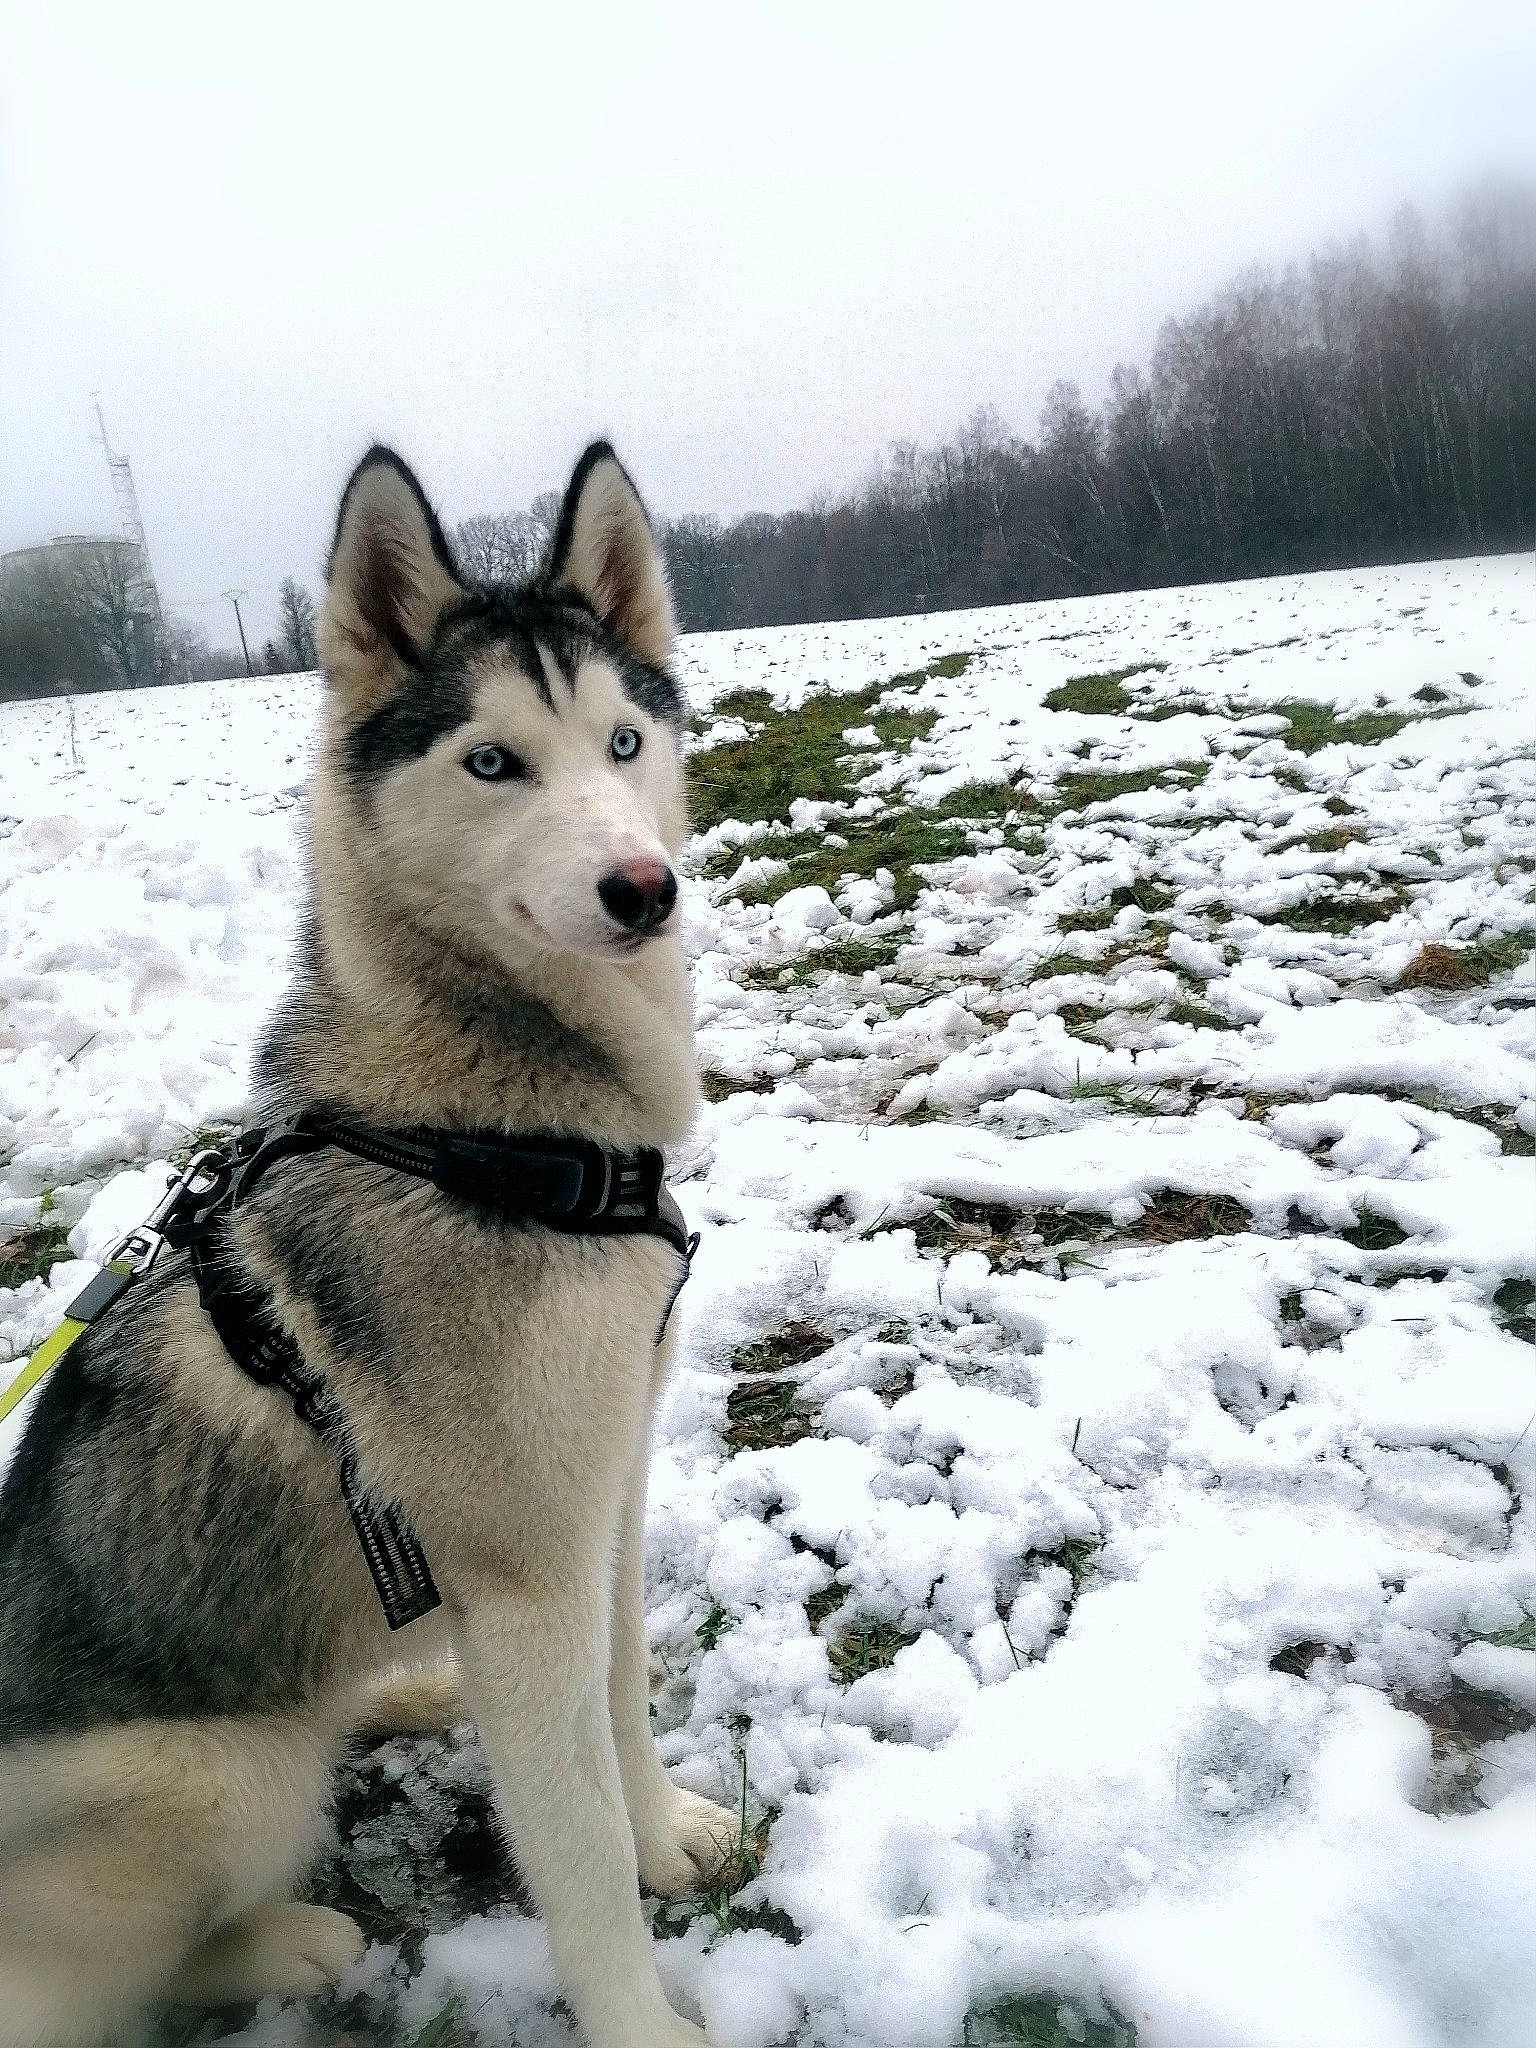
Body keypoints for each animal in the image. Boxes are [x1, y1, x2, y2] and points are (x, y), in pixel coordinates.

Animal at [0, 442, 737, 2046]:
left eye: (625, 741)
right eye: (492, 763)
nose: (642, 887)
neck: (485, 1122)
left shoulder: (606, 1490)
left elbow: (621, 1703)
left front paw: (666, 1830)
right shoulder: (526, 1570)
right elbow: (574, 1839)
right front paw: (639, 2011)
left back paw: (404, 1692)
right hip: (214, 1780)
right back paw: (283, 1941)